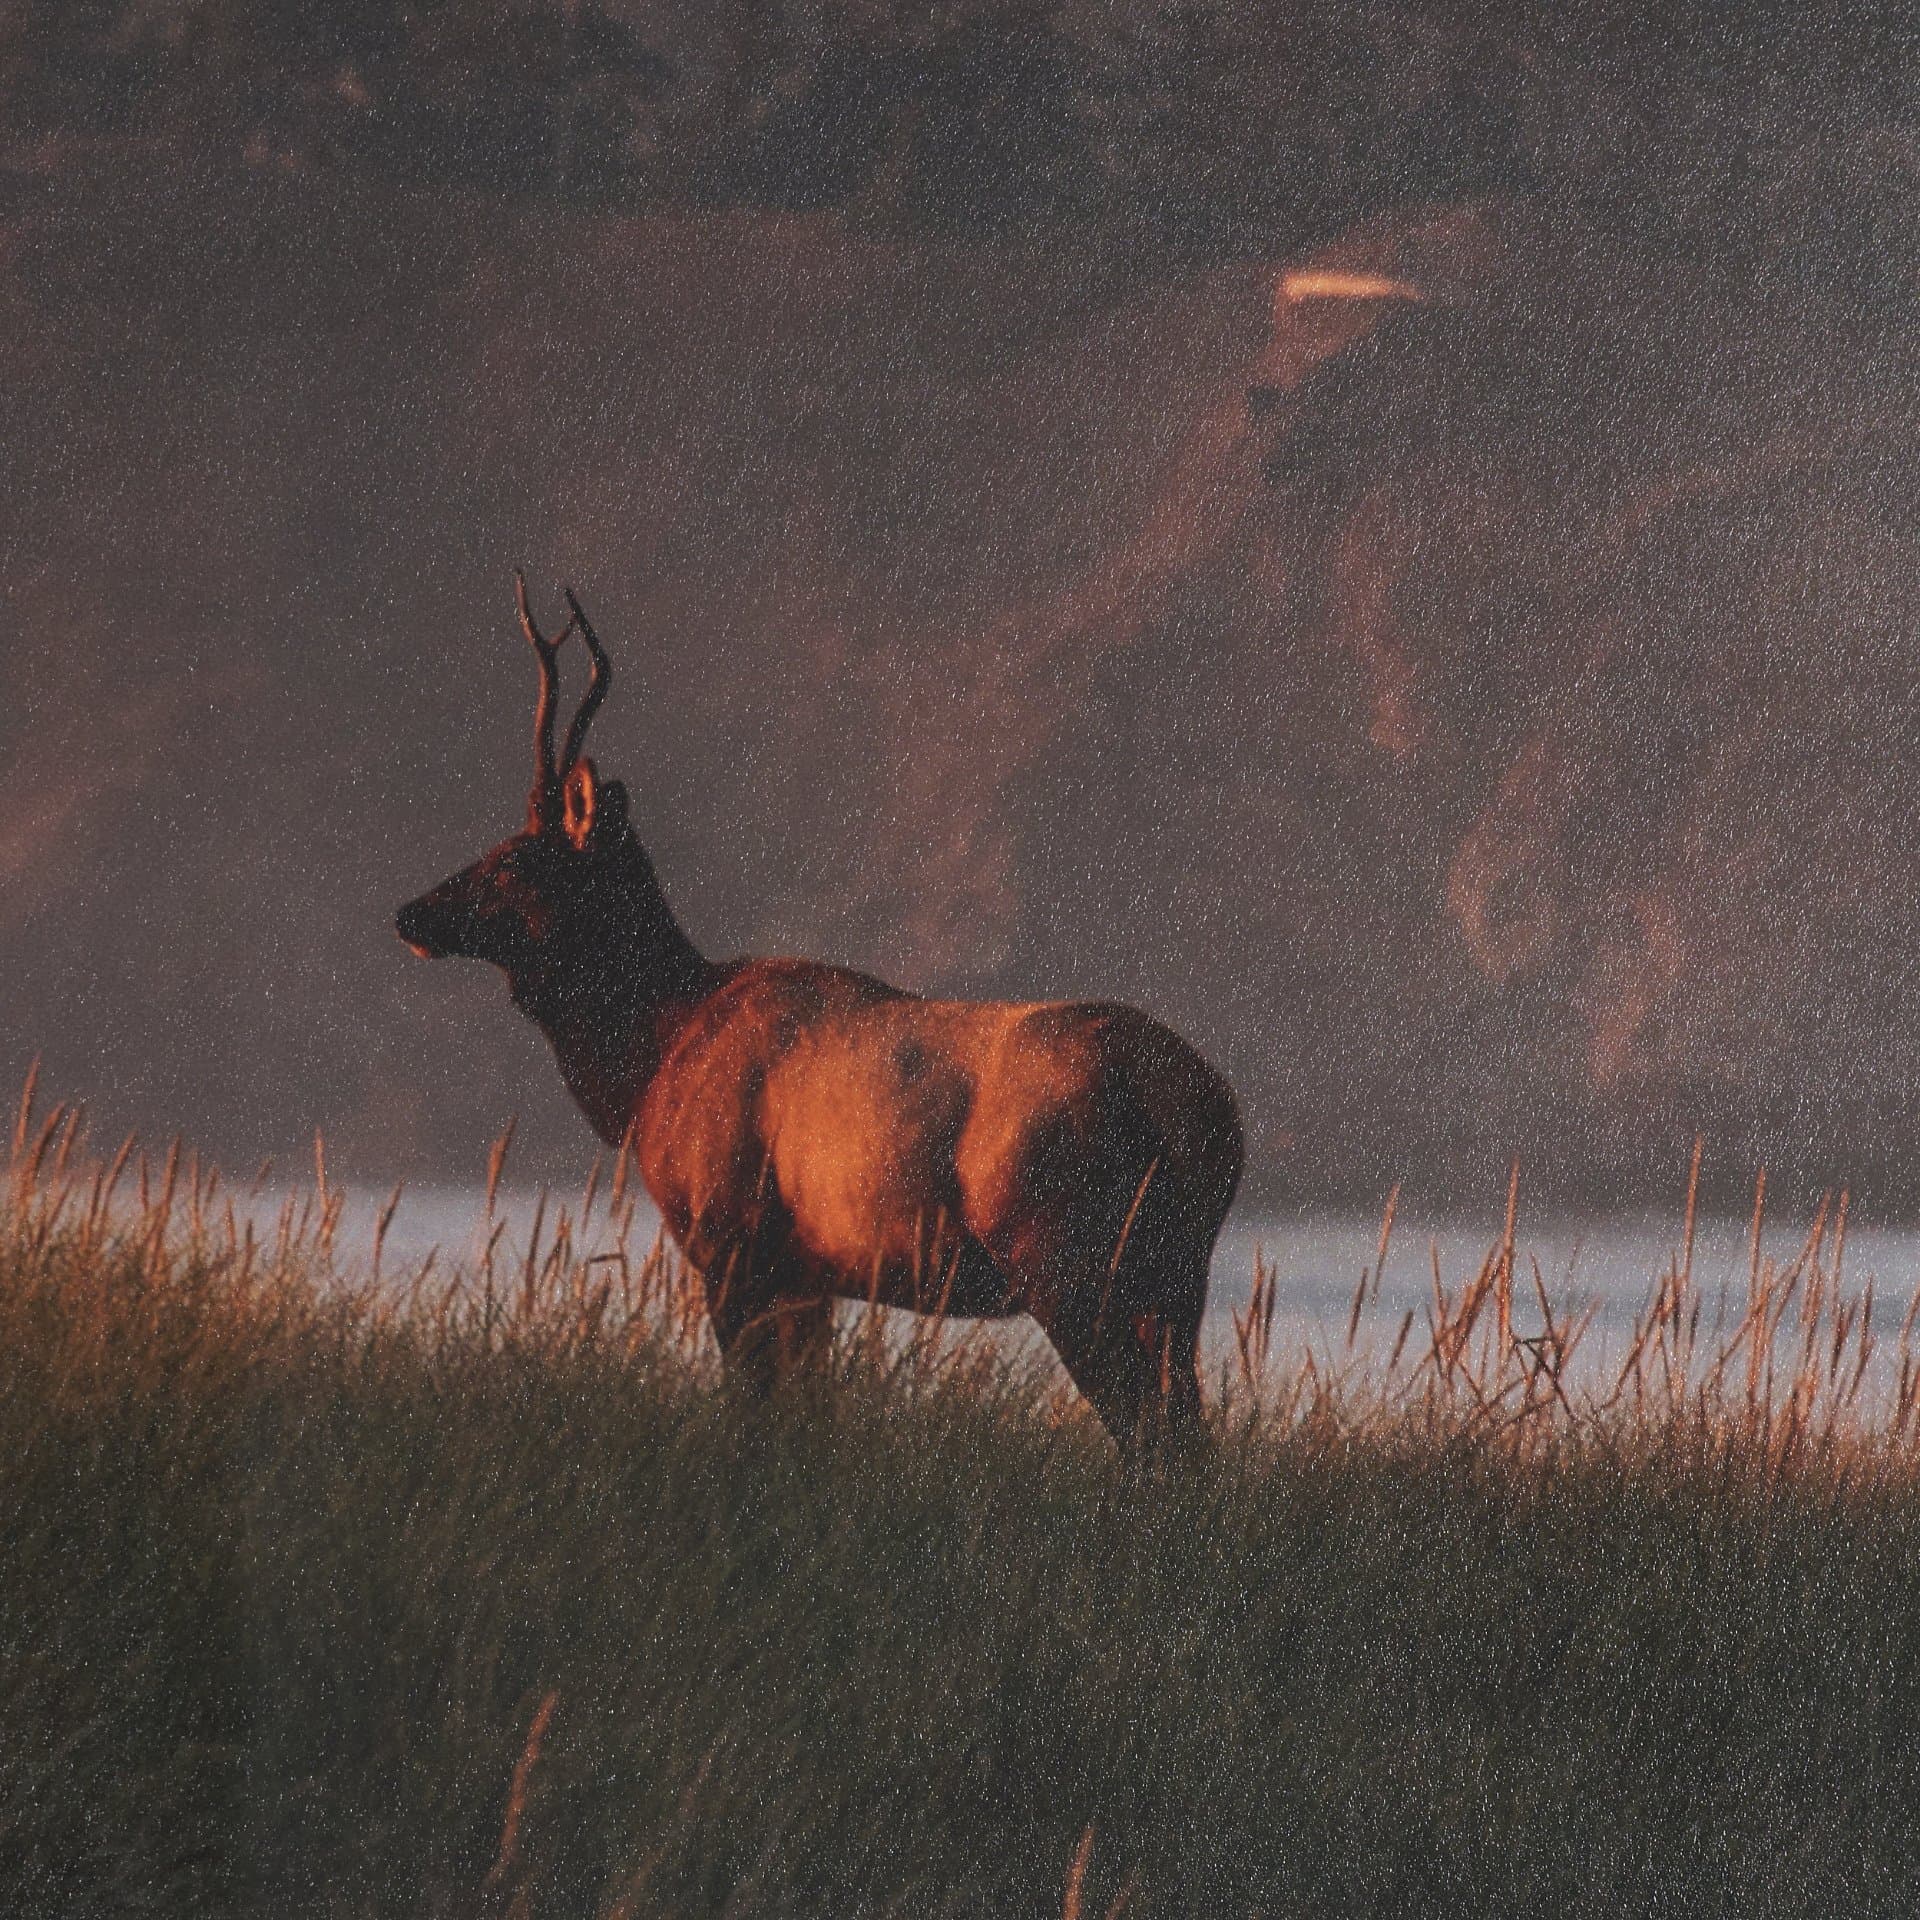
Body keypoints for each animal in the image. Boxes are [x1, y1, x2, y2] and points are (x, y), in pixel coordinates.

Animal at [395, 578, 1244, 1449]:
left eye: (513, 860)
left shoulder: (735, 1248)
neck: (650, 1058)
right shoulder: (807, 1276)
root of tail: (1201, 1108)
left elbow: (752, 1412)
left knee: (1151, 1436)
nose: (410, 914)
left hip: (1070, 1265)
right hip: (1177, 1280)